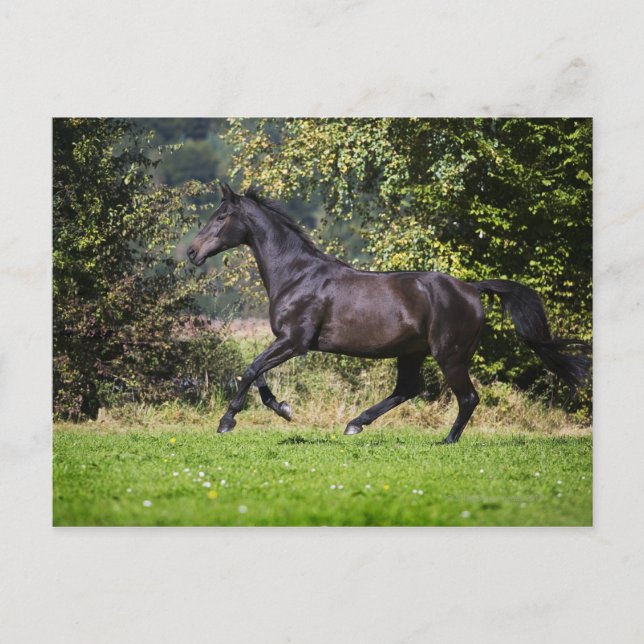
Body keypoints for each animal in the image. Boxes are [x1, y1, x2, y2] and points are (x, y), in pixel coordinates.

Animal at [187, 183, 590, 443]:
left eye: (221, 217)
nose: (191, 252)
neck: (297, 274)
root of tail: (473, 288)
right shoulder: (285, 342)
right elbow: (257, 374)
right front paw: (283, 408)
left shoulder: (294, 342)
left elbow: (251, 369)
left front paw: (227, 421)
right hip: (411, 353)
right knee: (408, 389)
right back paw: (355, 424)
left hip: (450, 356)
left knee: (468, 398)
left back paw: (446, 441)